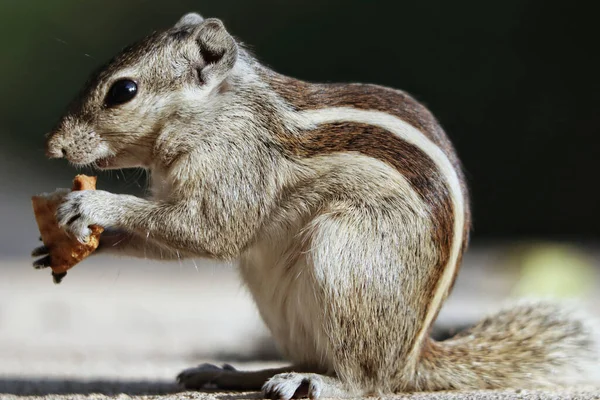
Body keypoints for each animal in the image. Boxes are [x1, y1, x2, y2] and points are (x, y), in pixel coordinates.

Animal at [35, 10, 596, 398]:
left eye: (123, 91)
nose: (53, 146)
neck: (219, 111)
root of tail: (412, 357)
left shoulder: (238, 167)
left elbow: (213, 231)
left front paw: (95, 206)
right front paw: (67, 245)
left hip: (343, 259)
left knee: (368, 381)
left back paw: (321, 383)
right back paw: (239, 375)